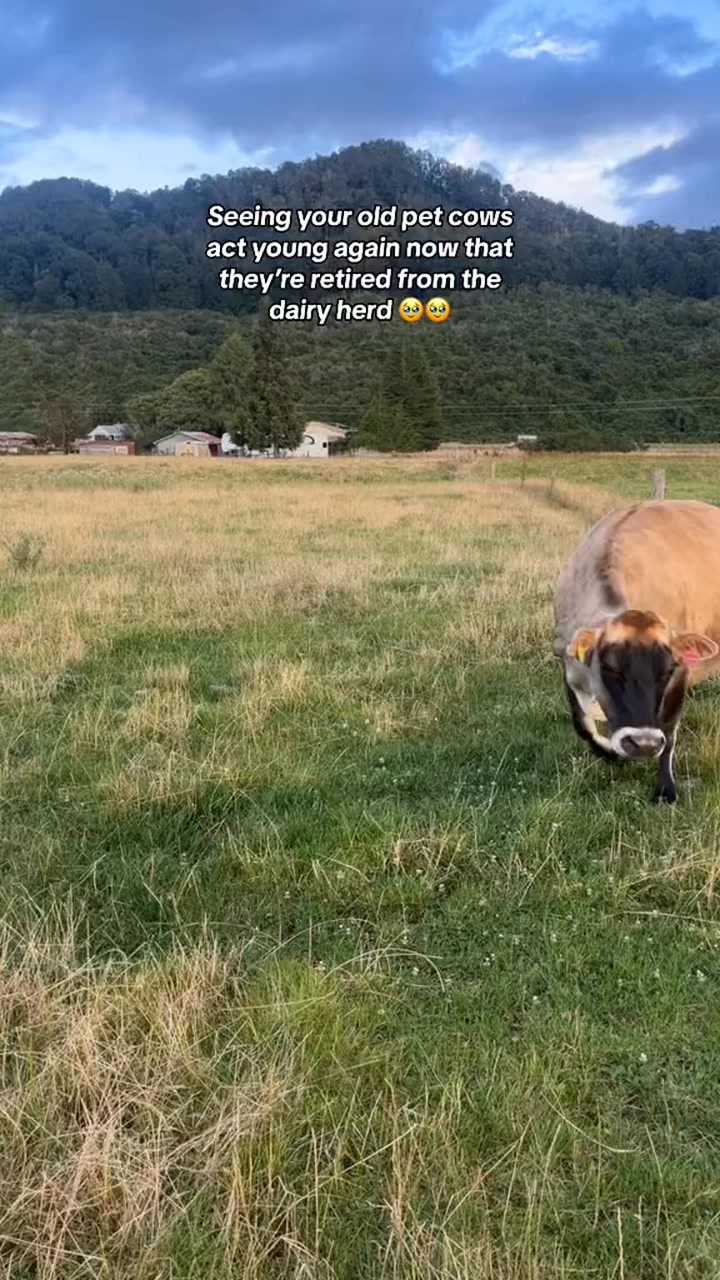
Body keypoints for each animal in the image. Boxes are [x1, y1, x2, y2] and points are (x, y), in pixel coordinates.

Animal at [553, 499, 720, 804]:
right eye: (608, 666)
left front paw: (665, 789)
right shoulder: (568, 662)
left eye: (668, 669)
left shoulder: (681, 673)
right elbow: (582, 724)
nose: (643, 744)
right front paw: (611, 751)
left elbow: (668, 728)